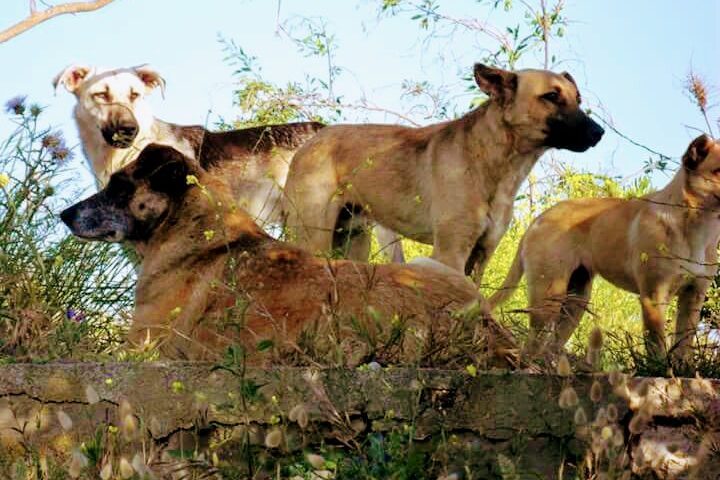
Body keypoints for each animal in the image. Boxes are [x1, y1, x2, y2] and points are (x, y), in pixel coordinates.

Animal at [490, 133, 720, 366]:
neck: (695, 225)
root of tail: (538, 220)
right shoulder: (654, 296)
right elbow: (656, 346)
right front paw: (661, 369)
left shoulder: (693, 297)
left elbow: (684, 344)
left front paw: (684, 369)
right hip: (548, 297)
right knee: (531, 347)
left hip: (575, 302)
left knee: (551, 346)